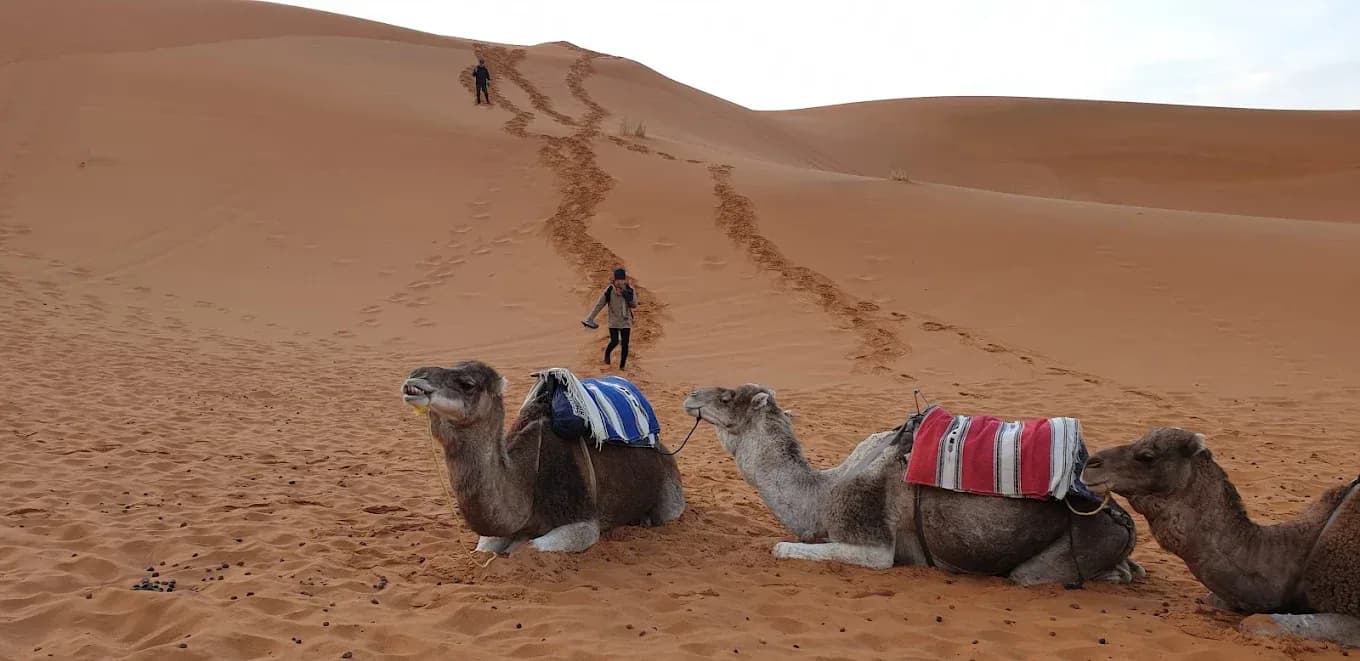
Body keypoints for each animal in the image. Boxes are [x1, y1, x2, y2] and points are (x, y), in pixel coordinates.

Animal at [401, 360, 685, 554]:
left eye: (468, 384)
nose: (414, 378)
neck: (529, 477)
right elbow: (486, 548)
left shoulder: (583, 523)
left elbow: (524, 549)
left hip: (670, 493)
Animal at [683, 384, 1144, 585]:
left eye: (726, 397)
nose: (690, 395)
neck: (823, 492)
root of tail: (1123, 521)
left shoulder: (873, 543)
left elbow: (780, 547)